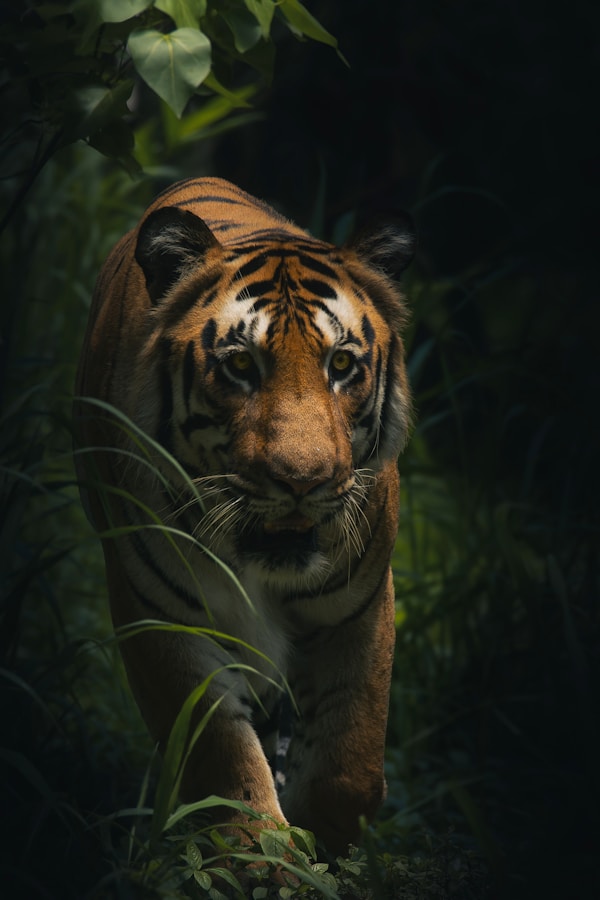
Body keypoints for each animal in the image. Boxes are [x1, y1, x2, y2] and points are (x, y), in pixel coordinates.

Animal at [74, 177, 414, 856]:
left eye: (341, 366)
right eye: (239, 366)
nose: (302, 481)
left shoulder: (359, 608)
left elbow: (351, 766)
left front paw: (323, 844)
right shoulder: (160, 616)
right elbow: (220, 758)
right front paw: (263, 858)